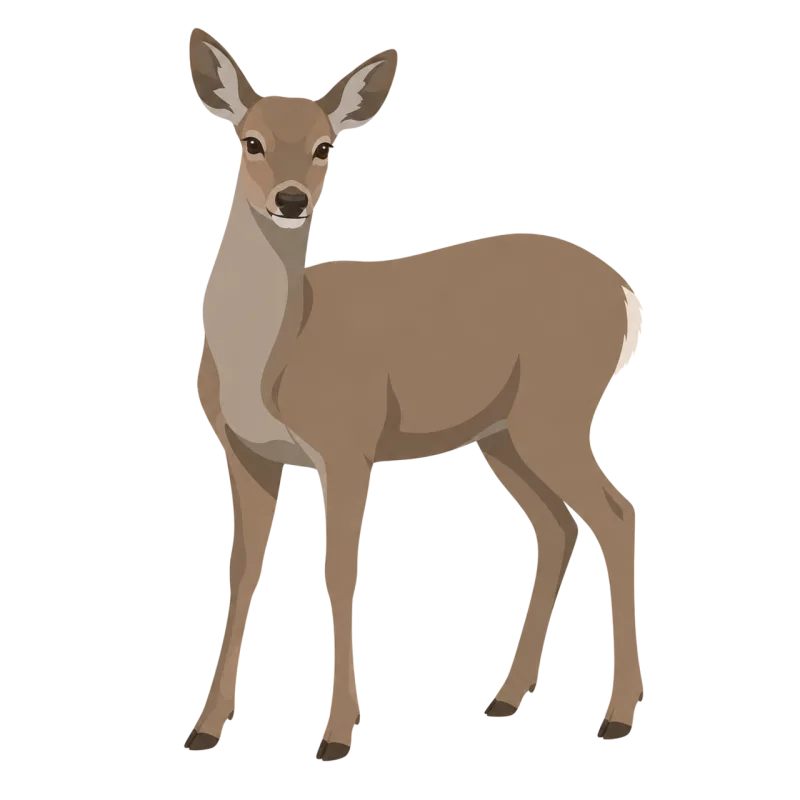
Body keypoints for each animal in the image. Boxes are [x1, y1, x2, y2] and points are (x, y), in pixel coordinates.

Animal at [187, 28, 646, 759]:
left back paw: (616, 716)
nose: (290, 200)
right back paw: (505, 698)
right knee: (557, 523)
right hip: (503, 434)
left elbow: (338, 572)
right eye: (250, 140)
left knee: (615, 514)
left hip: (557, 412)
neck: (274, 357)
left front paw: (336, 736)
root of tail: (626, 294)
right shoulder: (243, 453)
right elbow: (241, 575)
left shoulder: (347, 443)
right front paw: (205, 728)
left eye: (326, 147)